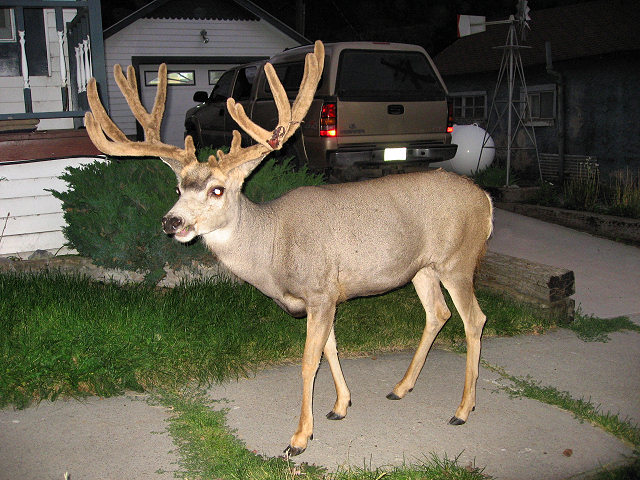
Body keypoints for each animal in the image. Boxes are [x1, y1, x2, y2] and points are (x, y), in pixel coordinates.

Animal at [84, 41, 493, 456]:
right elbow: (330, 349)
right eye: (178, 188)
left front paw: (299, 437)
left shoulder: (320, 291)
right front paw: (340, 406)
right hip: (423, 267)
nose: (172, 222)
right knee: (438, 313)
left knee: (474, 319)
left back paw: (462, 409)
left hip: (459, 261)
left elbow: (309, 362)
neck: (273, 246)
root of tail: (486, 200)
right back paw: (401, 387)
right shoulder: (325, 296)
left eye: (217, 190)